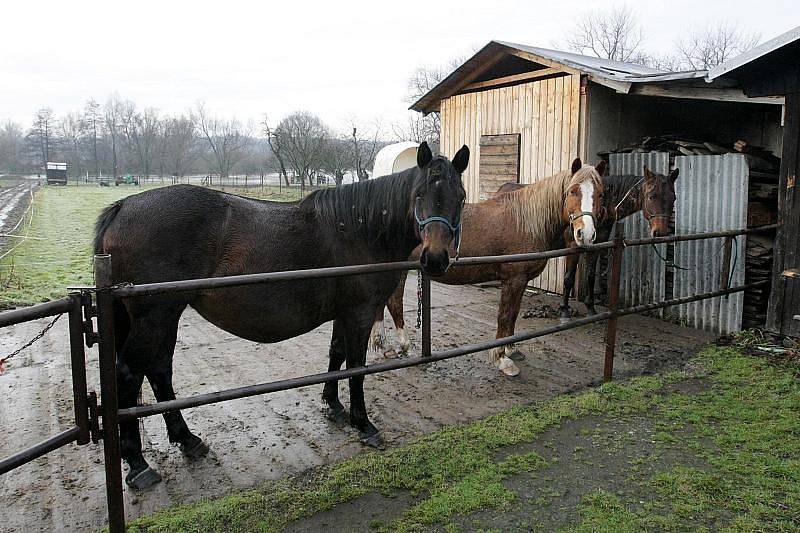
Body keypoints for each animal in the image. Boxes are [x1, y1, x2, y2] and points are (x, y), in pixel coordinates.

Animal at [94, 142, 468, 490]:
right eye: (419, 195)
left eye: (461, 198)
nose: (436, 259)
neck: (358, 228)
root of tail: (123, 207)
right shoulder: (360, 314)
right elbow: (356, 369)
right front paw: (363, 423)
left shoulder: (344, 313)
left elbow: (336, 354)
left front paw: (333, 406)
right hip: (156, 317)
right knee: (130, 375)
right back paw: (139, 465)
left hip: (162, 318)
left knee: (159, 371)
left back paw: (187, 440)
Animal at [368, 160, 600, 376]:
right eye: (572, 191)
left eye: (600, 193)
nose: (586, 235)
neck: (526, 221)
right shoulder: (513, 279)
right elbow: (504, 316)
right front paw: (502, 360)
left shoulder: (521, 281)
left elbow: (513, 314)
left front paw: (510, 349)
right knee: (394, 303)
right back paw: (401, 345)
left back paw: (387, 346)